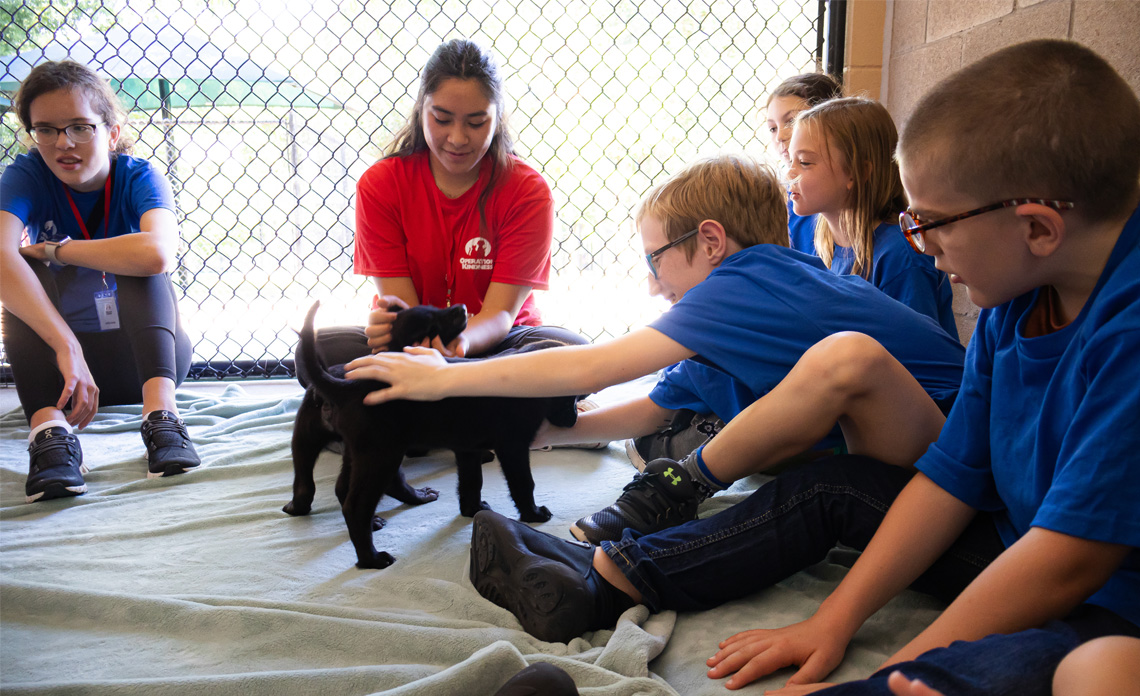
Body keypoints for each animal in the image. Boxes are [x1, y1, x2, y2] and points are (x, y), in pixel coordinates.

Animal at [285, 303, 579, 569]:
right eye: (573, 396)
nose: (574, 419)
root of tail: (346, 385)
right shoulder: (513, 447)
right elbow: (523, 483)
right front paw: (533, 513)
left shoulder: (468, 448)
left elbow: (472, 482)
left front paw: (472, 510)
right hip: (381, 454)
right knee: (356, 506)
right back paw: (371, 558)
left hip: (344, 448)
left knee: (328, 486)